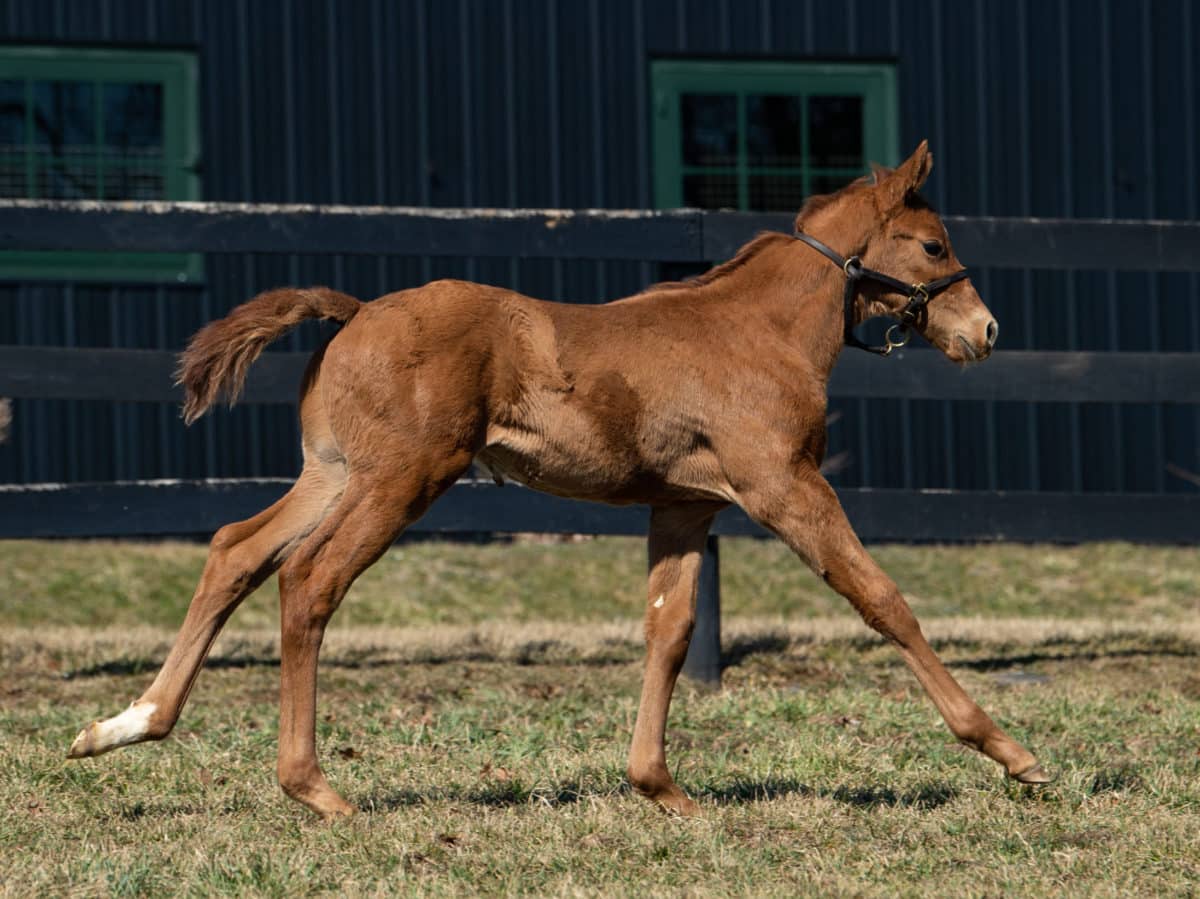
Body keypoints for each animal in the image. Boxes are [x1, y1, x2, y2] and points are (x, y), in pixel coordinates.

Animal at [68, 142, 1051, 820]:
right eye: (933, 244)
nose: (987, 331)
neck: (756, 330)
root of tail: (356, 312)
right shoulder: (784, 486)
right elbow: (880, 597)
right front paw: (1010, 750)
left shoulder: (685, 504)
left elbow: (669, 630)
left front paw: (661, 788)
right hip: (403, 478)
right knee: (310, 579)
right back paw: (314, 788)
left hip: (335, 472)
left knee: (235, 551)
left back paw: (125, 725)